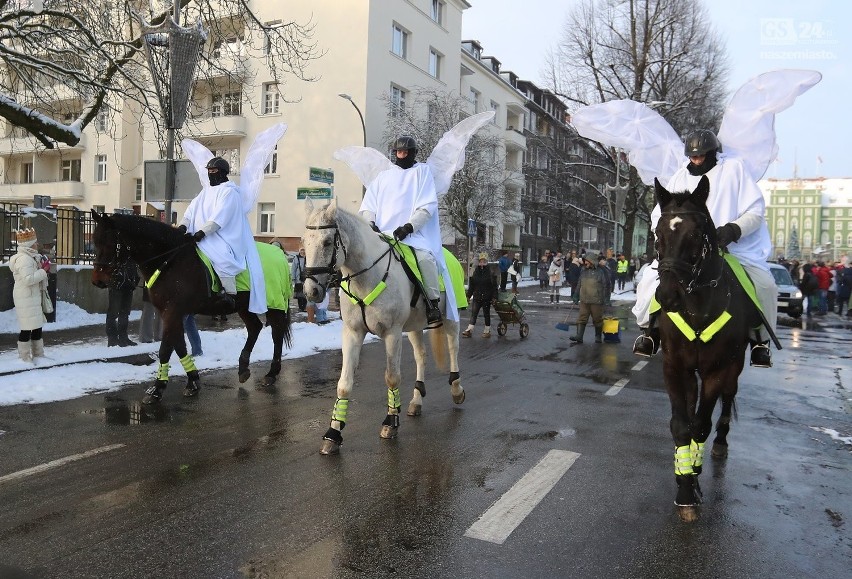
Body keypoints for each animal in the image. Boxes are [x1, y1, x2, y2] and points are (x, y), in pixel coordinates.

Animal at [88, 211, 292, 406]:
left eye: (109, 242)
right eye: (95, 242)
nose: (98, 280)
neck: (170, 262)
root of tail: (279, 254)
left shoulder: (173, 312)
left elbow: (166, 349)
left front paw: (159, 388)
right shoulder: (171, 313)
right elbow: (177, 345)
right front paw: (189, 381)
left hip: (273, 304)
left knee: (276, 333)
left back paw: (271, 374)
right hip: (244, 306)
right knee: (254, 327)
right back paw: (243, 369)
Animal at [304, 202, 466, 456]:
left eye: (328, 242)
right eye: (304, 241)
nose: (311, 291)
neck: (367, 276)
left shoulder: (392, 333)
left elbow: (392, 377)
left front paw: (391, 423)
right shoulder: (352, 333)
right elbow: (344, 384)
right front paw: (333, 434)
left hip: (451, 317)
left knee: (453, 349)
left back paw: (457, 390)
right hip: (414, 326)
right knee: (421, 356)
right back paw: (416, 400)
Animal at [648, 176, 764, 520]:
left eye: (696, 234)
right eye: (657, 233)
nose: (667, 296)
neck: (697, 309)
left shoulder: (718, 369)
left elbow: (701, 424)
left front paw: (692, 483)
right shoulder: (675, 367)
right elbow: (681, 424)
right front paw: (684, 483)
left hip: (734, 369)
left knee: (726, 403)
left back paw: (720, 444)